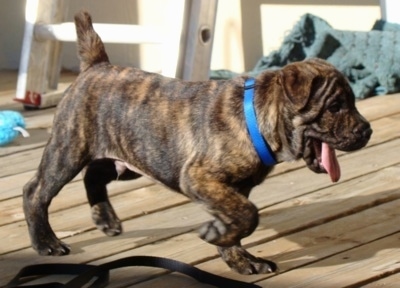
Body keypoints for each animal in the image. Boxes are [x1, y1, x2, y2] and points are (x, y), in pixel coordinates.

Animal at [22, 11, 372, 274]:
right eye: (335, 107)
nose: (366, 131)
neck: (257, 118)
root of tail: (97, 65)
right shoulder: (200, 177)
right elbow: (248, 214)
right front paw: (220, 238)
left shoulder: (231, 188)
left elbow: (239, 219)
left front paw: (236, 255)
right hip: (69, 148)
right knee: (36, 191)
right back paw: (46, 242)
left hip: (132, 155)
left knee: (94, 175)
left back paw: (105, 220)